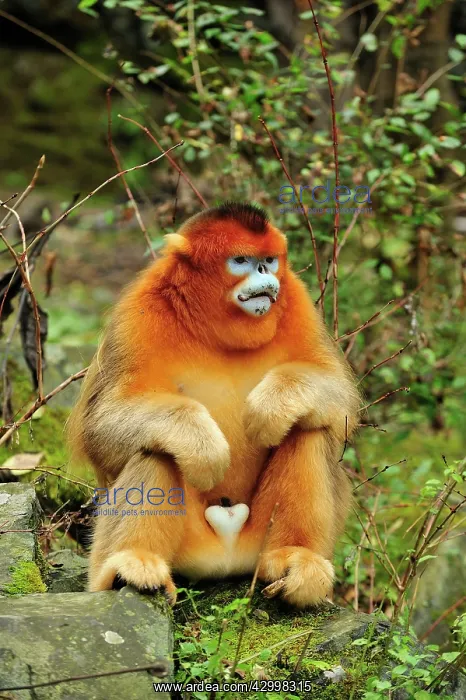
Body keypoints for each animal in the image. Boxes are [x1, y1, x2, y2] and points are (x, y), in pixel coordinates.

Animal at [68, 202, 360, 608]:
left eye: (269, 260)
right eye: (241, 260)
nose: (265, 274)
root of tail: (228, 548)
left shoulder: (297, 300)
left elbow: (341, 398)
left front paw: (270, 409)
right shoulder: (137, 310)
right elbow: (100, 427)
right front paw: (204, 449)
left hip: (256, 542)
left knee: (307, 427)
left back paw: (294, 560)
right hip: (192, 545)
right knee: (156, 448)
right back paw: (132, 566)